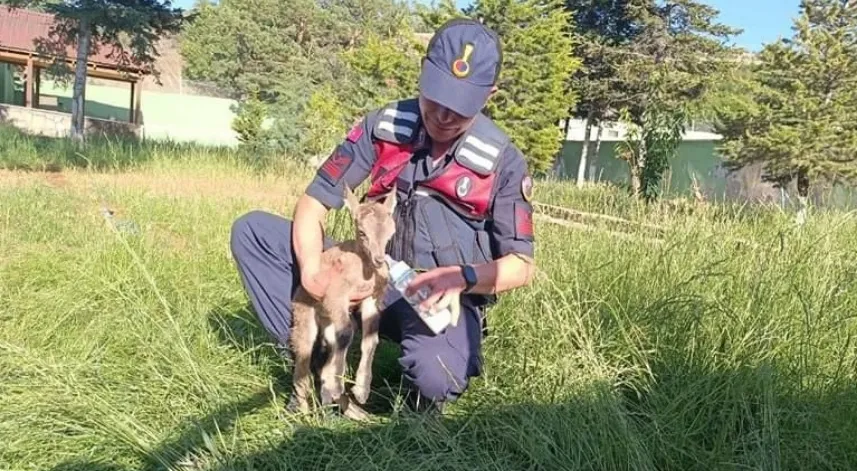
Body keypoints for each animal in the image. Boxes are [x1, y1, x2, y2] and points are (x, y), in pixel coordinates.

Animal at [288, 184, 394, 420]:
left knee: (330, 346)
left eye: (391, 233)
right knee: (303, 359)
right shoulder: (335, 295)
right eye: (362, 232)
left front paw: (362, 390)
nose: (379, 259)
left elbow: (370, 338)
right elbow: (346, 333)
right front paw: (338, 386)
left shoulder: (371, 299)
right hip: (305, 315)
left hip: (328, 322)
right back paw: (305, 413)